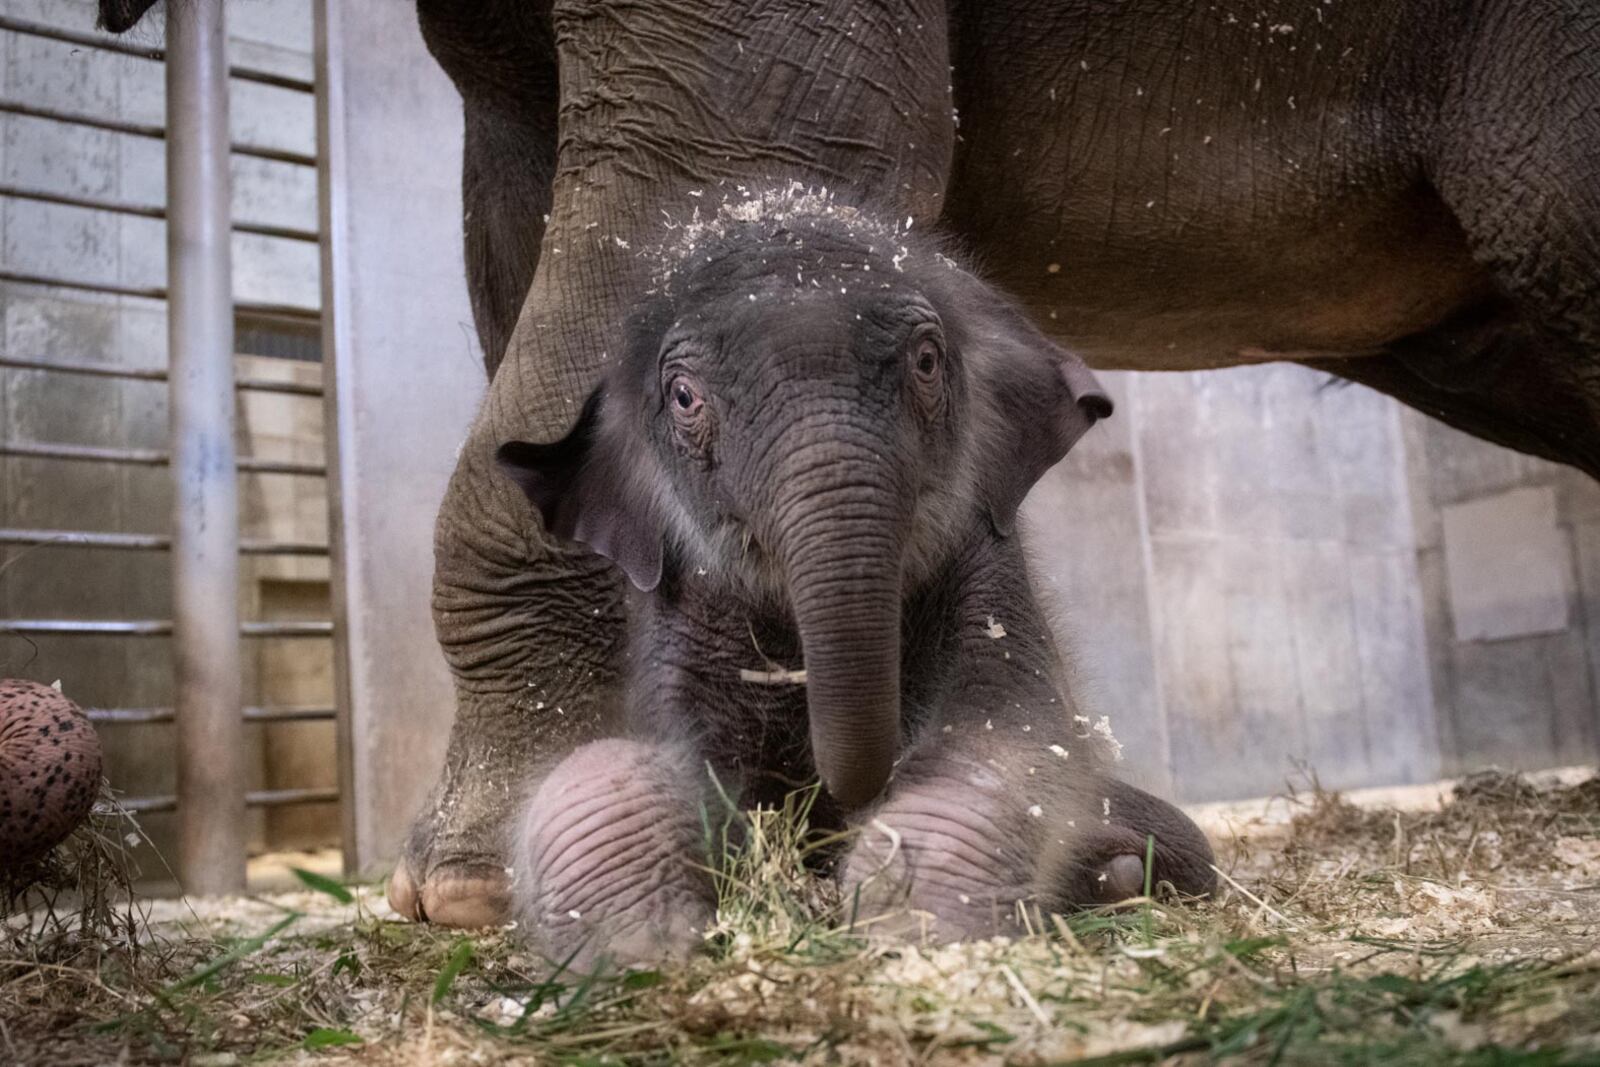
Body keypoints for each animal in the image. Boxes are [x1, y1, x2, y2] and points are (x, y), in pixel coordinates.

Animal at [499, 191, 1209, 966]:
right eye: (684, 397)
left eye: (926, 360)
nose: (833, 811)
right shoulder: (678, 616)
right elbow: (639, 765)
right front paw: (645, 945)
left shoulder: (991, 567)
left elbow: (1008, 731)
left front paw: (906, 924)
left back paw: (1116, 874)